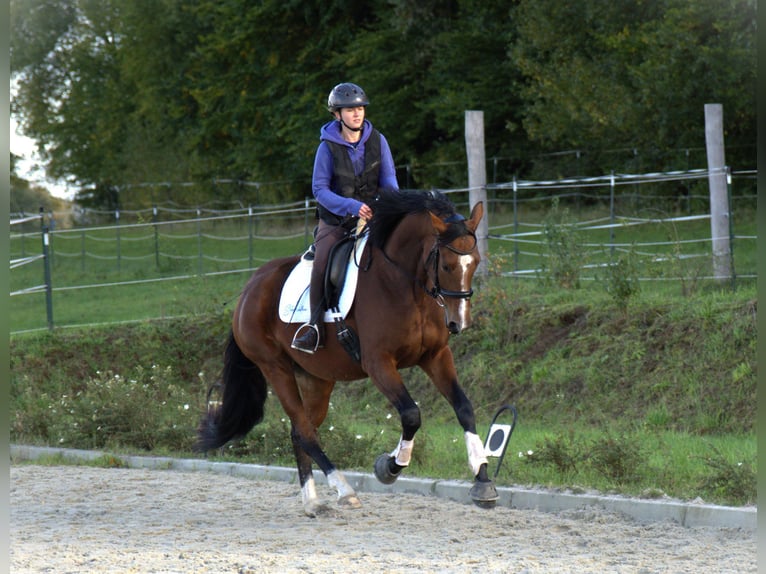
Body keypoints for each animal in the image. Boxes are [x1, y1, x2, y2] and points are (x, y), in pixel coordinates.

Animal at [195, 189, 498, 516]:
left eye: (475, 262)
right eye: (446, 266)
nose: (459, 323)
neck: (405, 284)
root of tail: (248, 288)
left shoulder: (436, 356)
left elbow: (464, 407)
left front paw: (482, 481)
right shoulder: (378, 363)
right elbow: (411, 415)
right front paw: (389, 467)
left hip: (316, 378)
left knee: (300, 431)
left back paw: (312, 501)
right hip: (275, 367)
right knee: (305, 431)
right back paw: (343, 489)